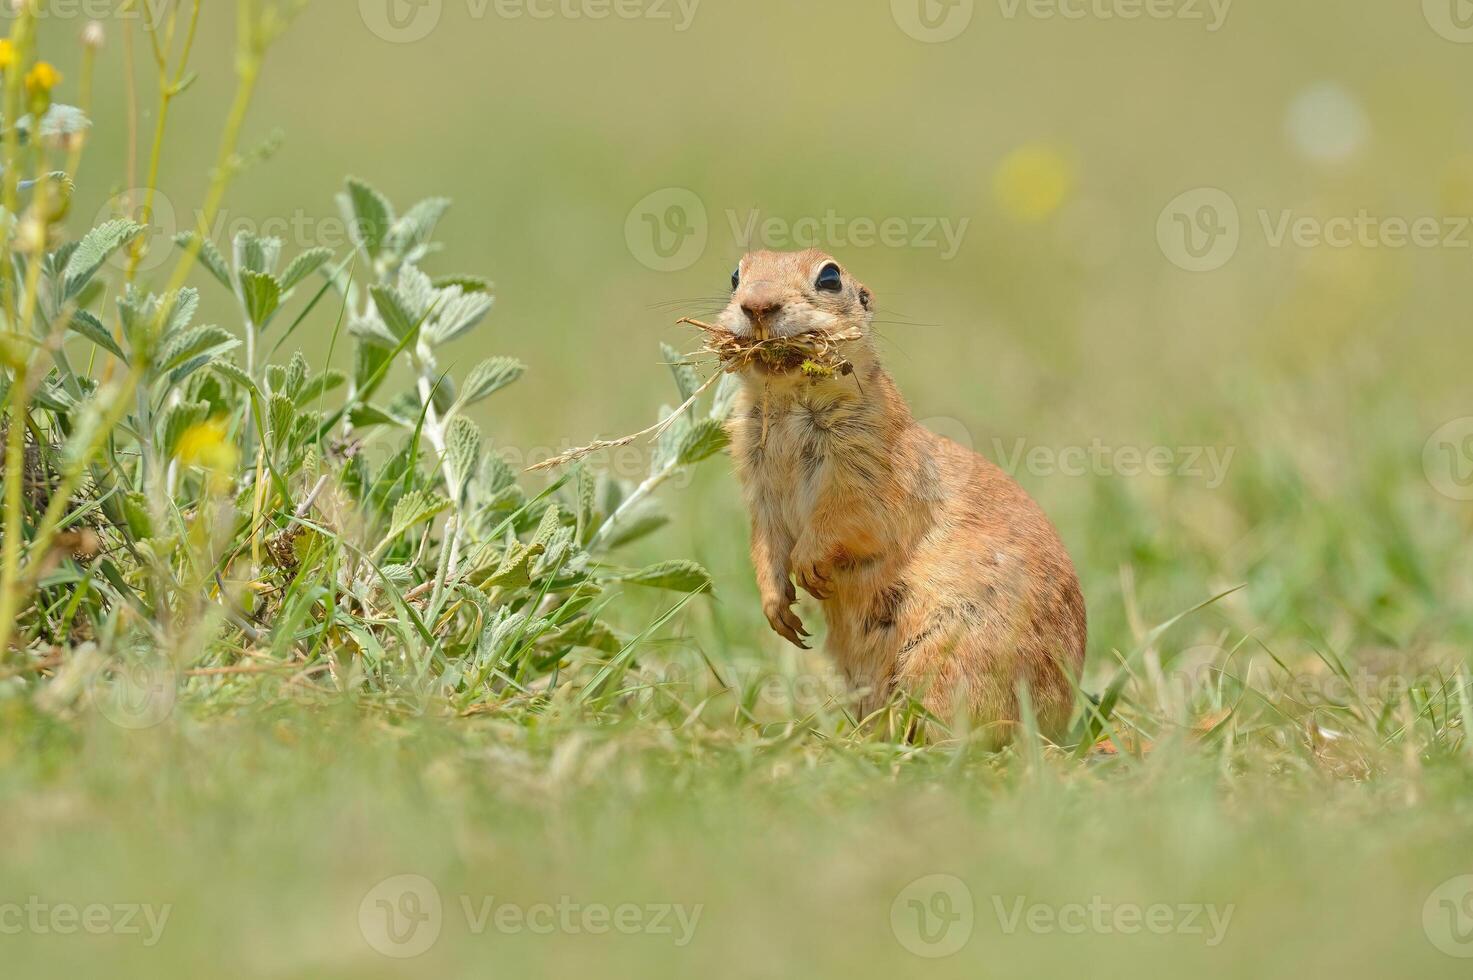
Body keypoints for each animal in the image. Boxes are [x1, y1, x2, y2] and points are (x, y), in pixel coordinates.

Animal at [718, 246, 1090, 742]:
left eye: (830, 277)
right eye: (735, 275)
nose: (757, 305)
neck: (788, 403)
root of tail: (1056, 724)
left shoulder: (874, 464)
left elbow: (850, 516)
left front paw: (809, 562)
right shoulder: (756, 483)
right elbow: (765, 540)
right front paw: (778, 609)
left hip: (948, 656)